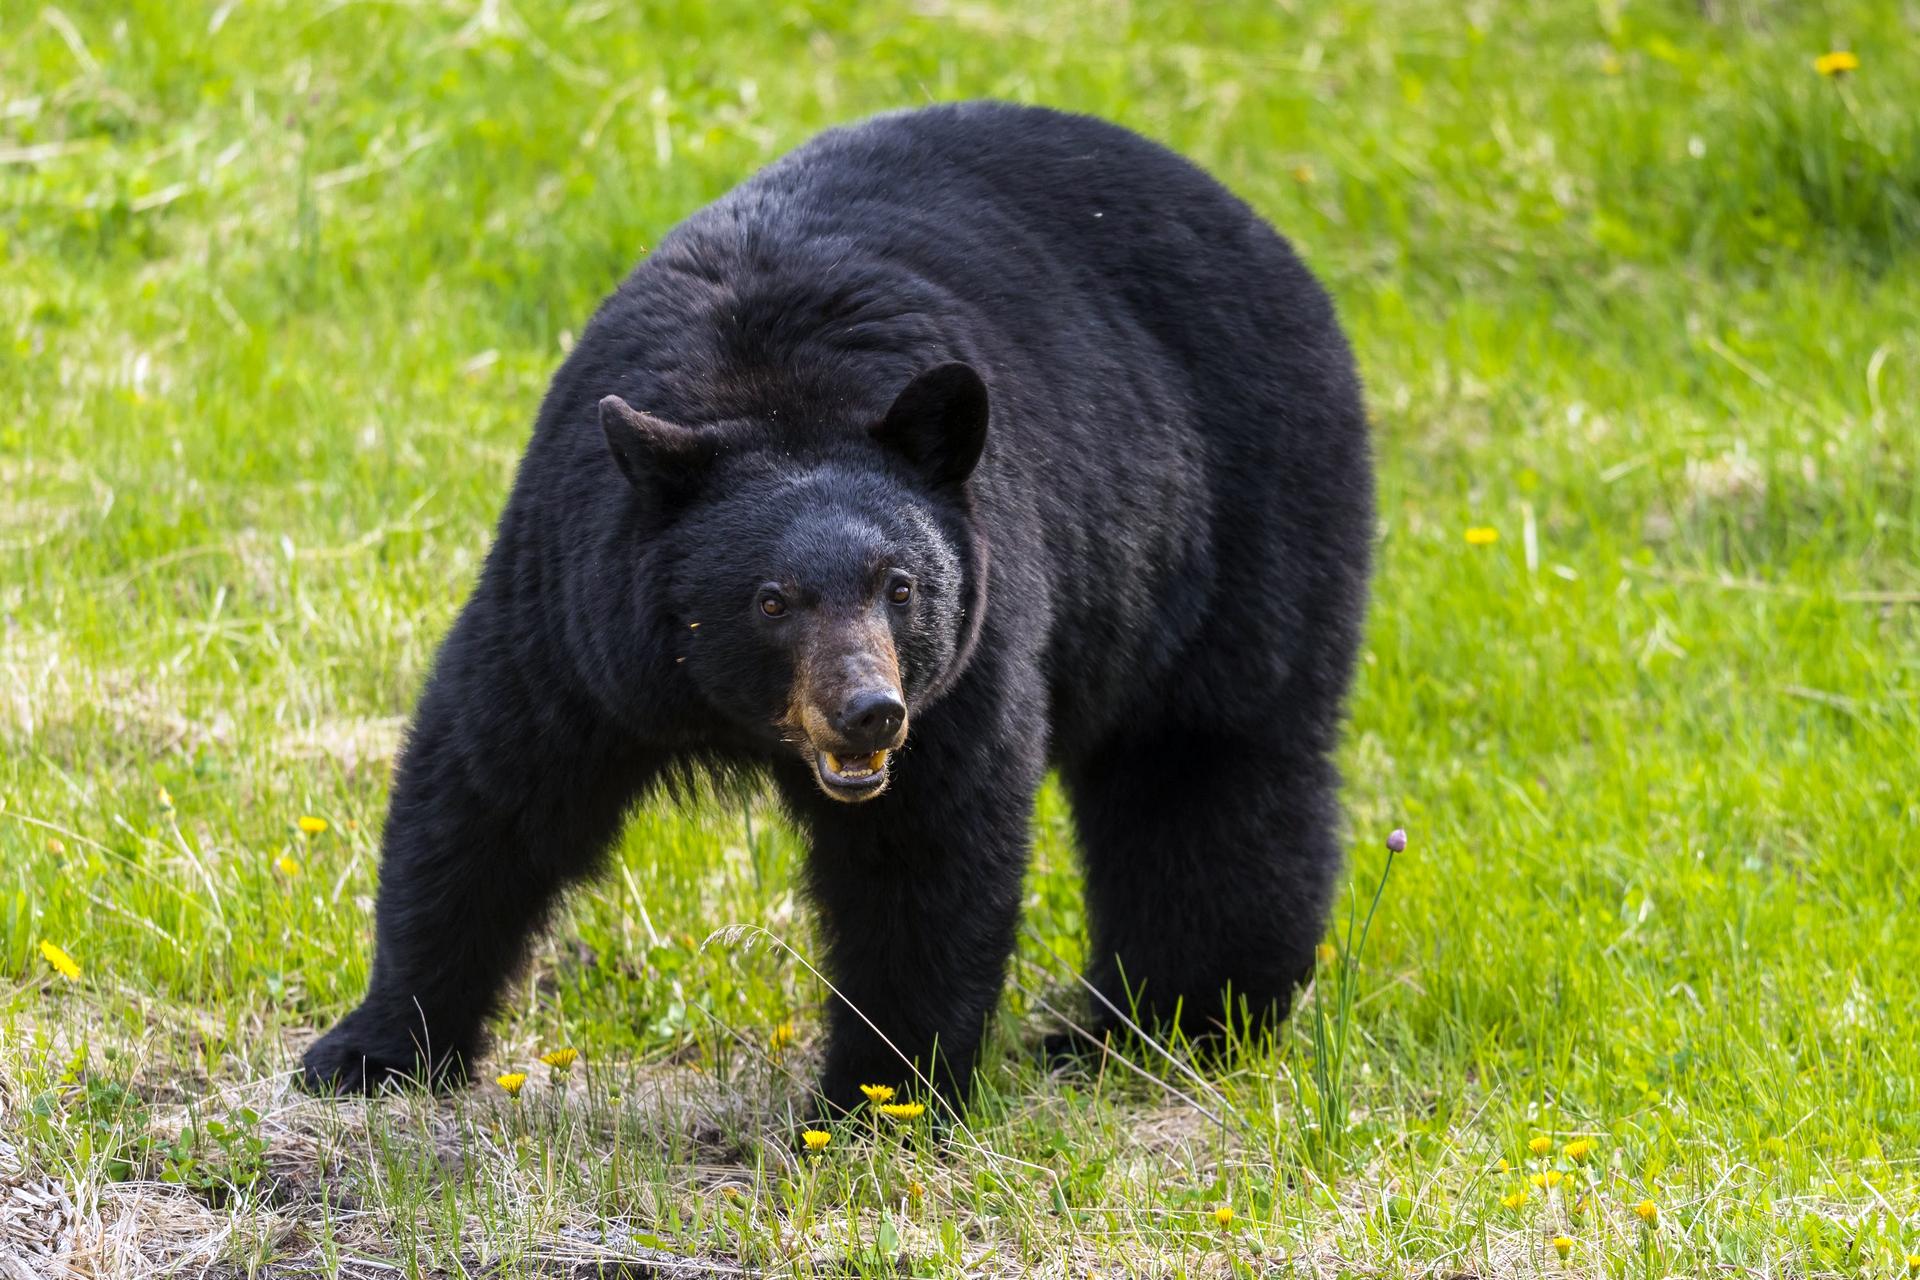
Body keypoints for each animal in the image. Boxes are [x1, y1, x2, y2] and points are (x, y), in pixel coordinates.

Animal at [299, 100, 1374, 1113]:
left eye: (901, 587)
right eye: (772, 600)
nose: (869, 712)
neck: (771, 392)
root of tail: (1261, 229)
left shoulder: (973, 649)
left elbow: (928, 854)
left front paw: (878, 1097)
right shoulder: (573, 603)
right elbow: (490, 792)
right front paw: (370, 1049)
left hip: (1243, 523)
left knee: (1210, 772)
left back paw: (1172, 1025)